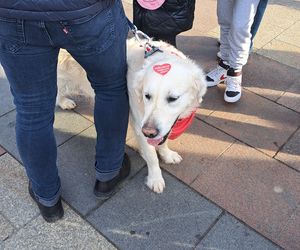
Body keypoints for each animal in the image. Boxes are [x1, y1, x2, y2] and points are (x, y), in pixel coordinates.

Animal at [56, 37, 206, 193]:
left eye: (173, 98)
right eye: (147, 96)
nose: (149, 132)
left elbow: (163, 141)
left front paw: (167, 155)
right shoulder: (140, 125)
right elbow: (152, 156)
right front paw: (155, 179)